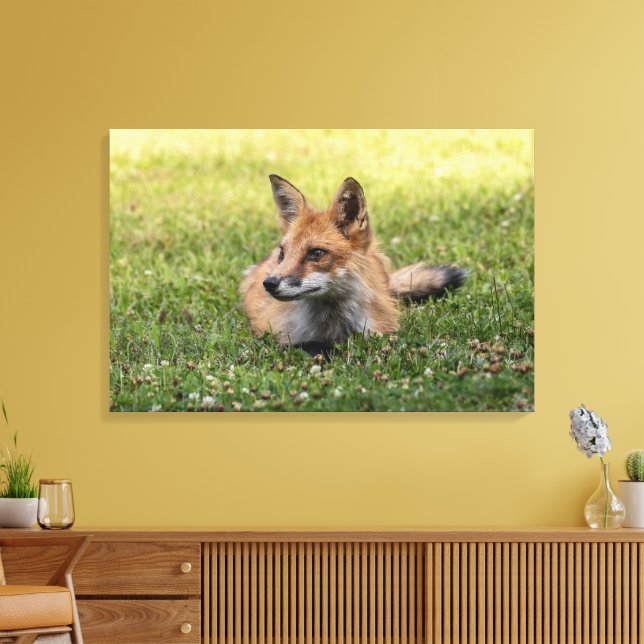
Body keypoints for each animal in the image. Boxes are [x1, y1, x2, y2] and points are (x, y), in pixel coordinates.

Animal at [241, 175, 466, 355]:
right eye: (283, 254)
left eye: (316, 253)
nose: (269, 283)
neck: (335, 326)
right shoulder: (278, 334)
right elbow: (311, 346)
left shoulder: (381, 332)